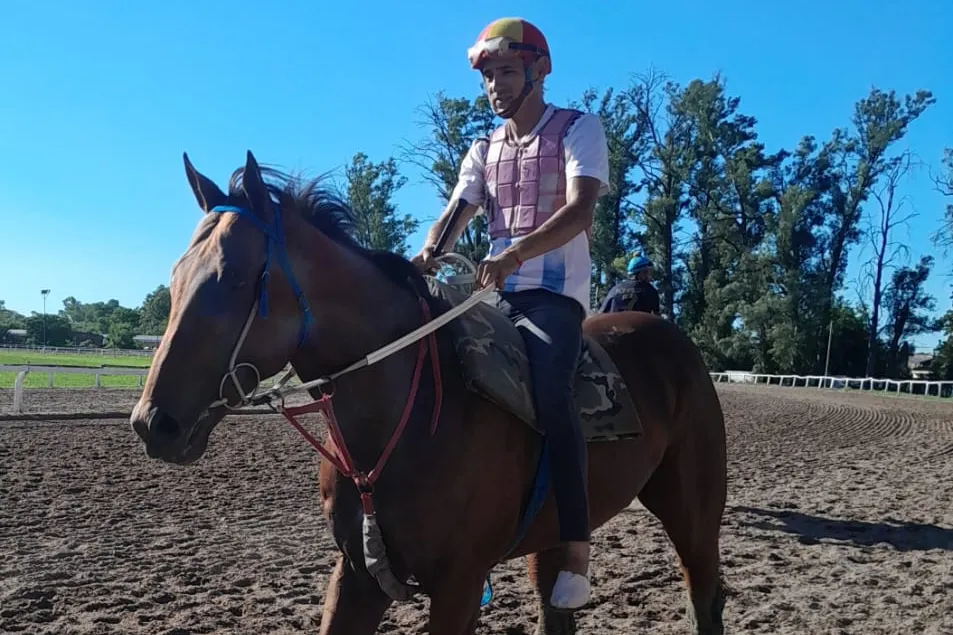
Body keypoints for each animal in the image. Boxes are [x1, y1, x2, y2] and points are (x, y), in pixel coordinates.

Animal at [128, 150, 728, 635]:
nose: (152, 423)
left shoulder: (460, 586)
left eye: (233, 276)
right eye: (177, 276)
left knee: (706, 600)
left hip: (694, 517)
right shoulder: (356, 576)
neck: (407, 421)